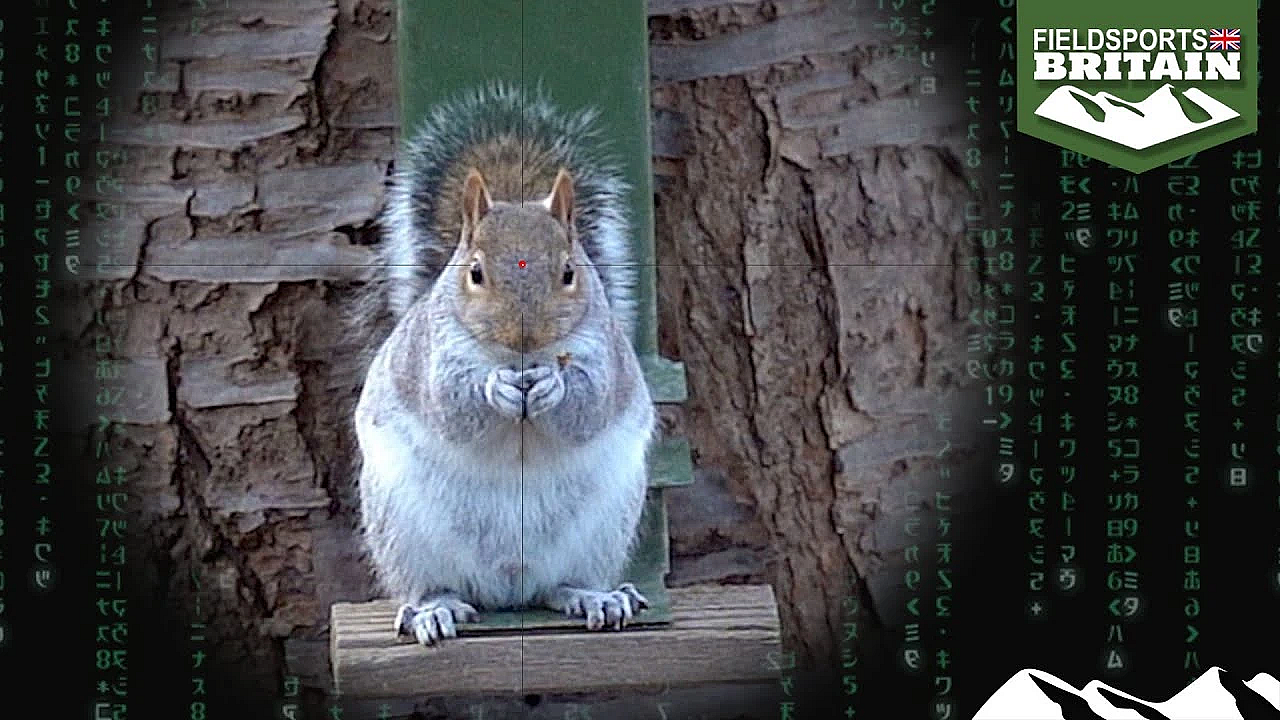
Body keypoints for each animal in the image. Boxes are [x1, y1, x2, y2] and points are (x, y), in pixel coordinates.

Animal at [352, 83, 656, 646]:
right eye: (474, 273)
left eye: (569, 272)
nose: (524, 338)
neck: (521, 361)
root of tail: (507, 588)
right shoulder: (430, 356)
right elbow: (449, 406)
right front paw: (495, 389)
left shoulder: (607, 355)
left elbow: (591, 405)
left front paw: (555, 388)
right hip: (403, 529)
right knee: (431, 584)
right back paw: (434, 609)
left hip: (605, 526)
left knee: (560, 584)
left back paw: (593, 596)